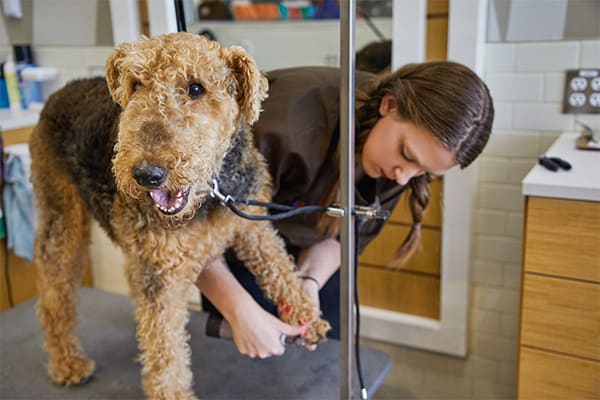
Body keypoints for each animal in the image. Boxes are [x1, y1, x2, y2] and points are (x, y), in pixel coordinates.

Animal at [30, 32, 330, 400]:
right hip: (62, 219)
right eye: (136, 84)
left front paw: (307, 318)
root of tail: (57, 93)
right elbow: (165, 354)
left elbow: (279, 268)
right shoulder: (161, 276)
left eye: (196, 88)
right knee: (53, 299)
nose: (147, 175)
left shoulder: (251, 224)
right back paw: (68, 364)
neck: (212, 192)